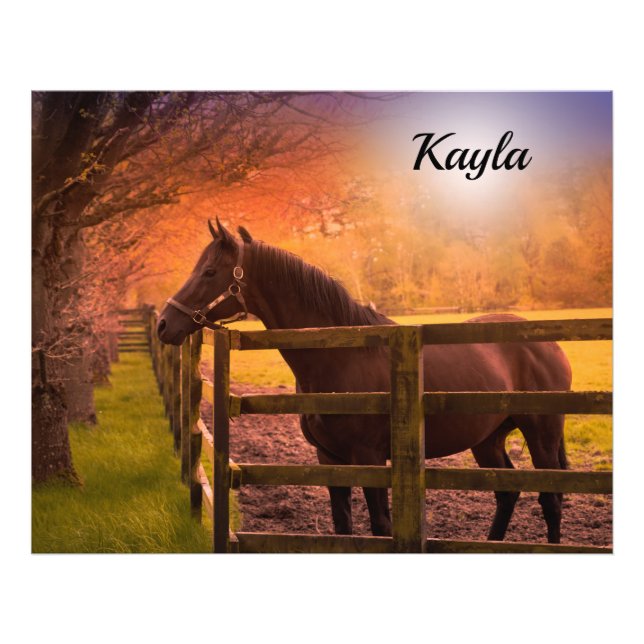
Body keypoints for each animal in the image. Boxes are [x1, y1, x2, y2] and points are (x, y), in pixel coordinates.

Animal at [157, 219, 572, 543]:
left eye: (210, 272)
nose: (164, 323)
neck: (342, 354)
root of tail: (547, 343)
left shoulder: (369, 457)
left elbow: (380, 526)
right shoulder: (330, 459)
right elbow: (343, 527)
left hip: (542, 436)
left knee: (551, 499)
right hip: (488, 438)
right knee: (506, 493)